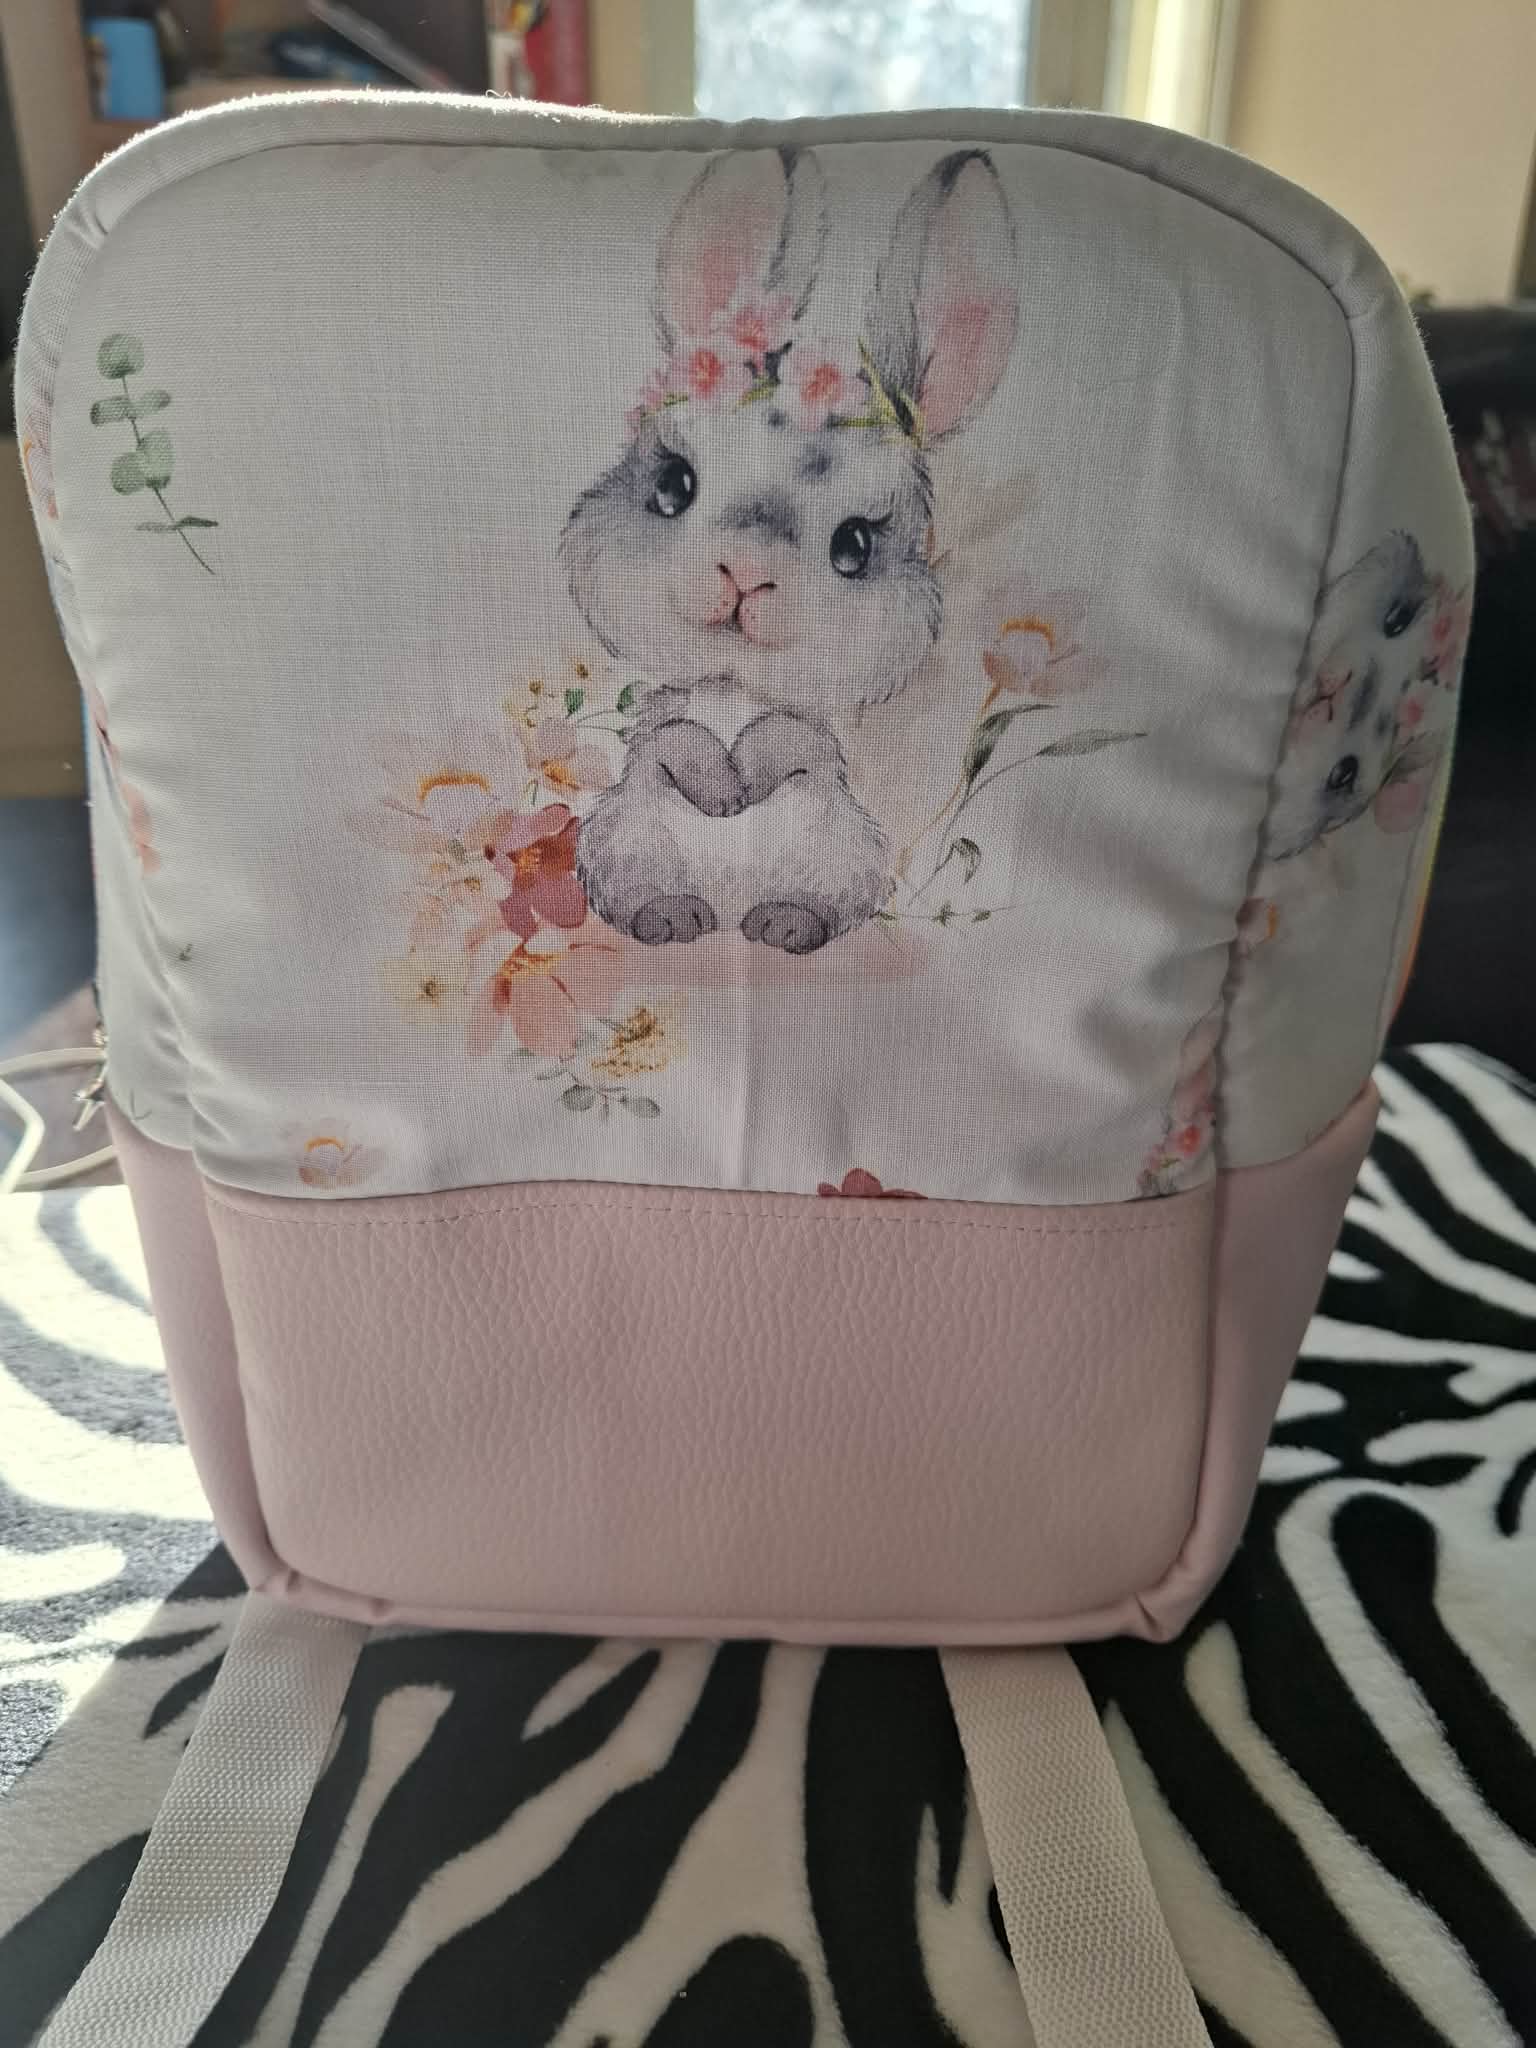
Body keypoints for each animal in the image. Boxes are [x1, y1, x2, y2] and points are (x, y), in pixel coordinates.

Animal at [562, 143, 1020, 950]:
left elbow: (784, 743)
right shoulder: (659, 725)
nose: (746, 573)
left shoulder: (811, 739)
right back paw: (674, 916)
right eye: (673, 485)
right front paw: (720, 793)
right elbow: (677, 739)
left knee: (819, 907)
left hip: (843, 853)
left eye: (855, 545)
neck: (734, 689)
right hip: (619, 843)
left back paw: (780, 923)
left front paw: (740, 784)